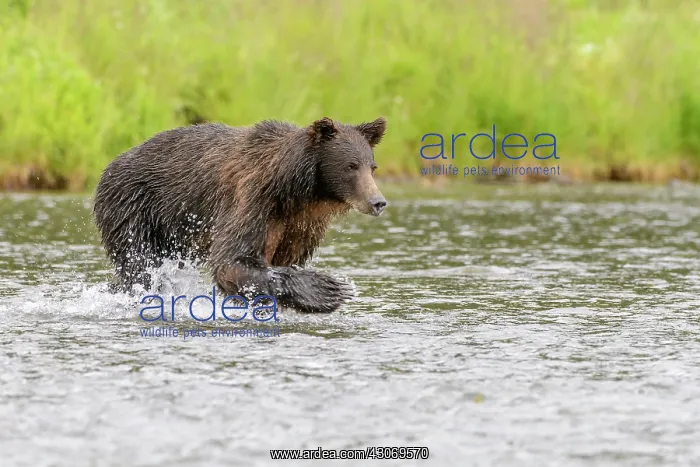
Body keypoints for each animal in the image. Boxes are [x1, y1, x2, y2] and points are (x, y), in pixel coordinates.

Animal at [93, 116, 388, 313]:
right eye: (351, 166)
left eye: (372, 166)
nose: (378, 202)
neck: (296, 190)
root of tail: (109, 165)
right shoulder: (253, 198)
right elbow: (232, 259)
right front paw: (328, 289)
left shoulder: (300, 224)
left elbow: (281, 258)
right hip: (132, 206)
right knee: (139, 264)